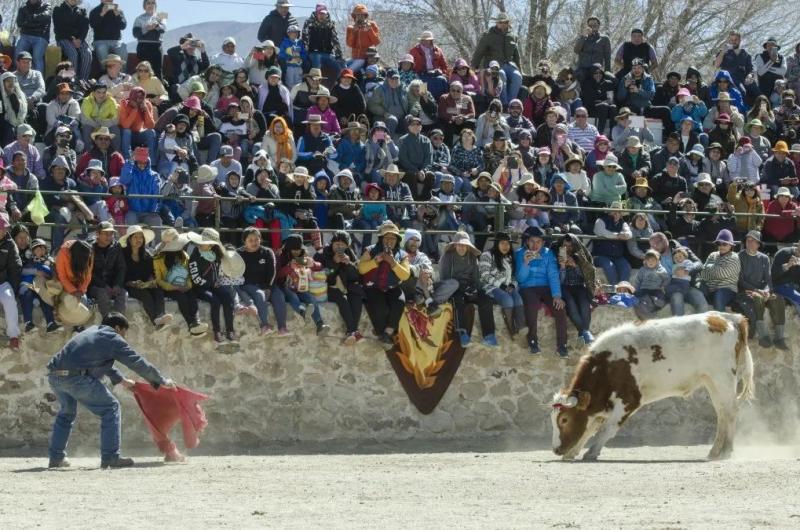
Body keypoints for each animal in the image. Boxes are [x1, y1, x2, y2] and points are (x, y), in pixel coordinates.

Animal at [552, 310, 752, 458]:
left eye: (564, 419)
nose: (555, 449)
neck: (607, 365)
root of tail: (728, 318)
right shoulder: (602, 403)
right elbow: (590, 428)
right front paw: (573, 452)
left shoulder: (629, 400)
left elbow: (606, 429)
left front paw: (591, 452)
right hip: (712, 381)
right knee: (722, 412)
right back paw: (715, 450)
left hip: (723, 378)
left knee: (731, 411)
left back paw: (726, 451)